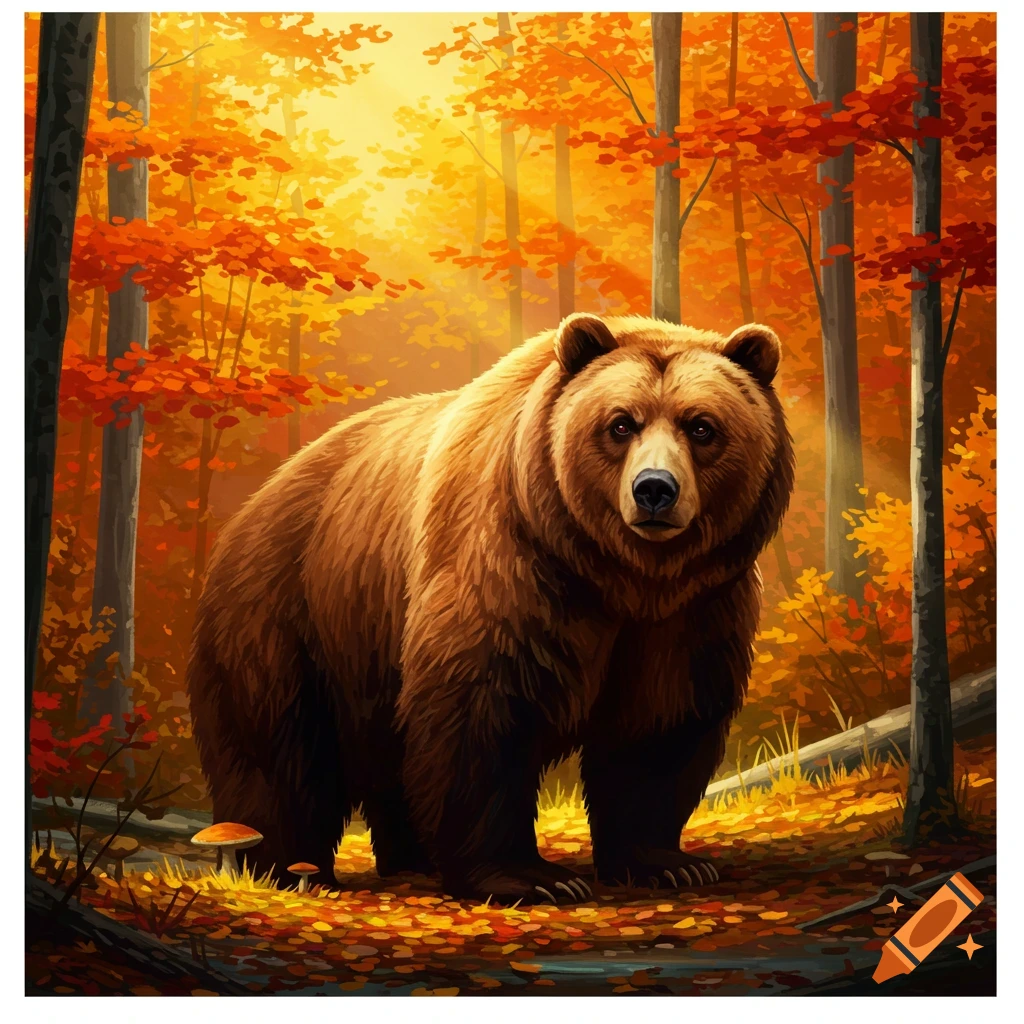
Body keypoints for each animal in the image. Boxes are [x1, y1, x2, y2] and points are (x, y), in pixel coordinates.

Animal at [187, 313, 794, 904]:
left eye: (701, 426)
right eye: (621, 423)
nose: (654, 490)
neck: (621, 575)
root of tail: (255, 503)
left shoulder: (695, 607)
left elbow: (662, 721)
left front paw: (668, 864)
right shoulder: (510, 562)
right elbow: (485, 708)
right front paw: (530, 878)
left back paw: (411, 860)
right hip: (289, 615)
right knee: (278, 751)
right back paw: (282, 867)